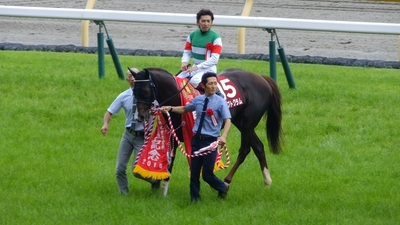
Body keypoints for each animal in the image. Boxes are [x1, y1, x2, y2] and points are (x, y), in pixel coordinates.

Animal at [131, 67, 282, 194]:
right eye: (133, 91)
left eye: (145, 91)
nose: (139, 116)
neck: (177, 97)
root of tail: (262, 78)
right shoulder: (172, 134)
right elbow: (169, 160)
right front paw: (158, 184)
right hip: (241, 123)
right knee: (258, 146)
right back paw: (267, 181)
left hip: (247, 124)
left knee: (245, 150)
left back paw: (227, 181)